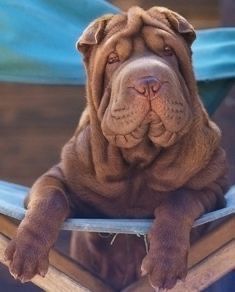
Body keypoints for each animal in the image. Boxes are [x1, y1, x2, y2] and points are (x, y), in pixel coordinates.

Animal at [4, 5, 227, 292]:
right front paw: (26, 251)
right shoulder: (56, 177)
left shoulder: (211, 186)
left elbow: (179, 201)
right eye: (112, 59)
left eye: (168, 51)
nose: (148, 82)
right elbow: (50, 199)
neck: (139, 156)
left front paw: (165, 262)